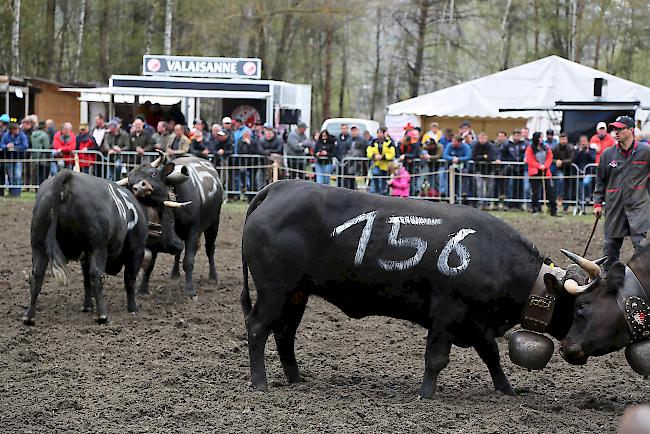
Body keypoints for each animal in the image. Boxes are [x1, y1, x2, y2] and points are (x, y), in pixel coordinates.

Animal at [24, 171, 182, 324]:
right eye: (171, 220)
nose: (179, 244)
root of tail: (68, 176)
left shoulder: (85, 257)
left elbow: (86, 280)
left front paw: (87, 306)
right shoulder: (137, 251)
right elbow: (129, 279)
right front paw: (133, 308)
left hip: (39, 246)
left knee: (37, 275)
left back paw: (29, 317)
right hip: (97, 248)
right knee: (96, 275)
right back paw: (103, 315)